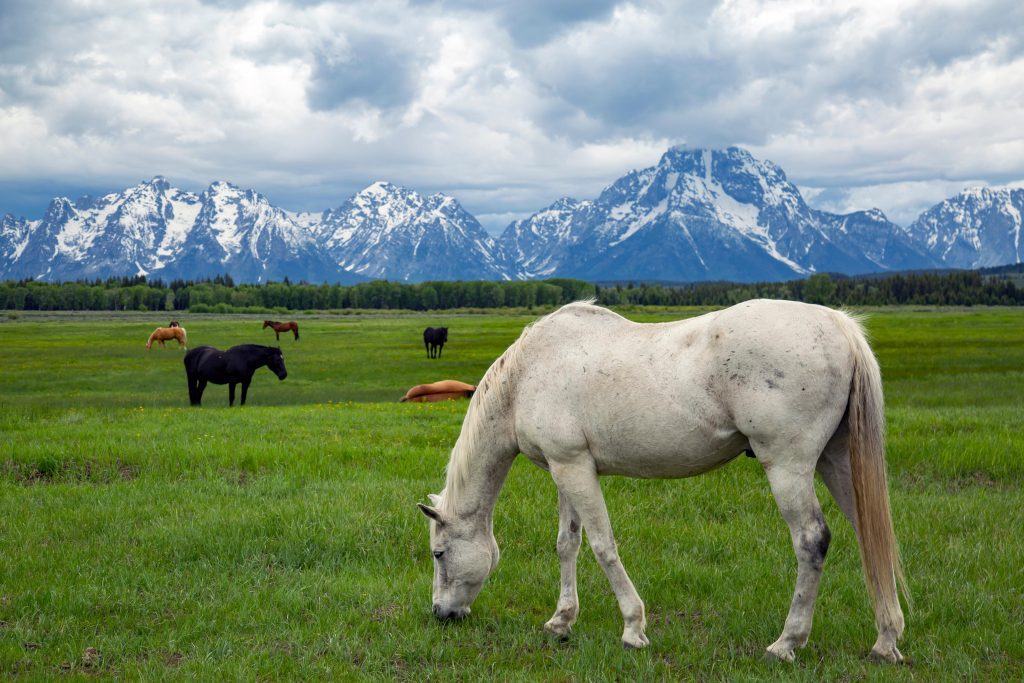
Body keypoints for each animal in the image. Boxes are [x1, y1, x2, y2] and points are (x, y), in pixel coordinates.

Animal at [418, 300, 909, 663]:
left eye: (439, 553)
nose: (441, 613)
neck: (527, 376)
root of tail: (838, 326)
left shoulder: (574, 468)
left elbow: (603, 545)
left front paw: (633, 628)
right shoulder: (566, 468)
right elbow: (567, 544)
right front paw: (561, 621)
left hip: (788, 467)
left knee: (812, 541)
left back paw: (786, 643)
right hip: (836, 461)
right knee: (870, 533)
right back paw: (886, 641)